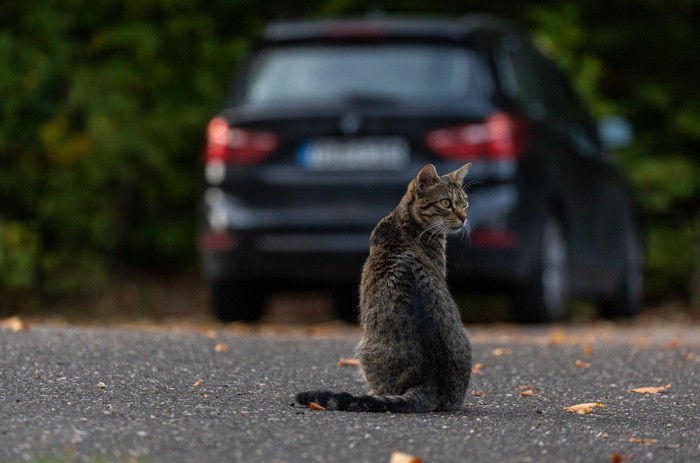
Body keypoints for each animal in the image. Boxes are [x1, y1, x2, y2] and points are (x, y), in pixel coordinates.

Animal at [296, 163, 470, 414]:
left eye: (464, 203)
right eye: (446, 203)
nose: (464, 217)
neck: (403, 222)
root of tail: (430, 382)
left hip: (364, 351)